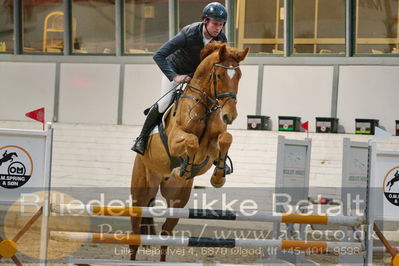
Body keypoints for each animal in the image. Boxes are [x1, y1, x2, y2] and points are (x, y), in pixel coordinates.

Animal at [131, 42, 248, 260]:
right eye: (219, 75)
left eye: (239, 75)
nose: (229, 116)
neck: (206, 105)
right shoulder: (175, 140)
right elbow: (192, 141)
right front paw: (183, 167)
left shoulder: (211, 148)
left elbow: (226, 138)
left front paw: (218, 177)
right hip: (140, 192)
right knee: (134, 235)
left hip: (177, 199)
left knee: (165, 236)